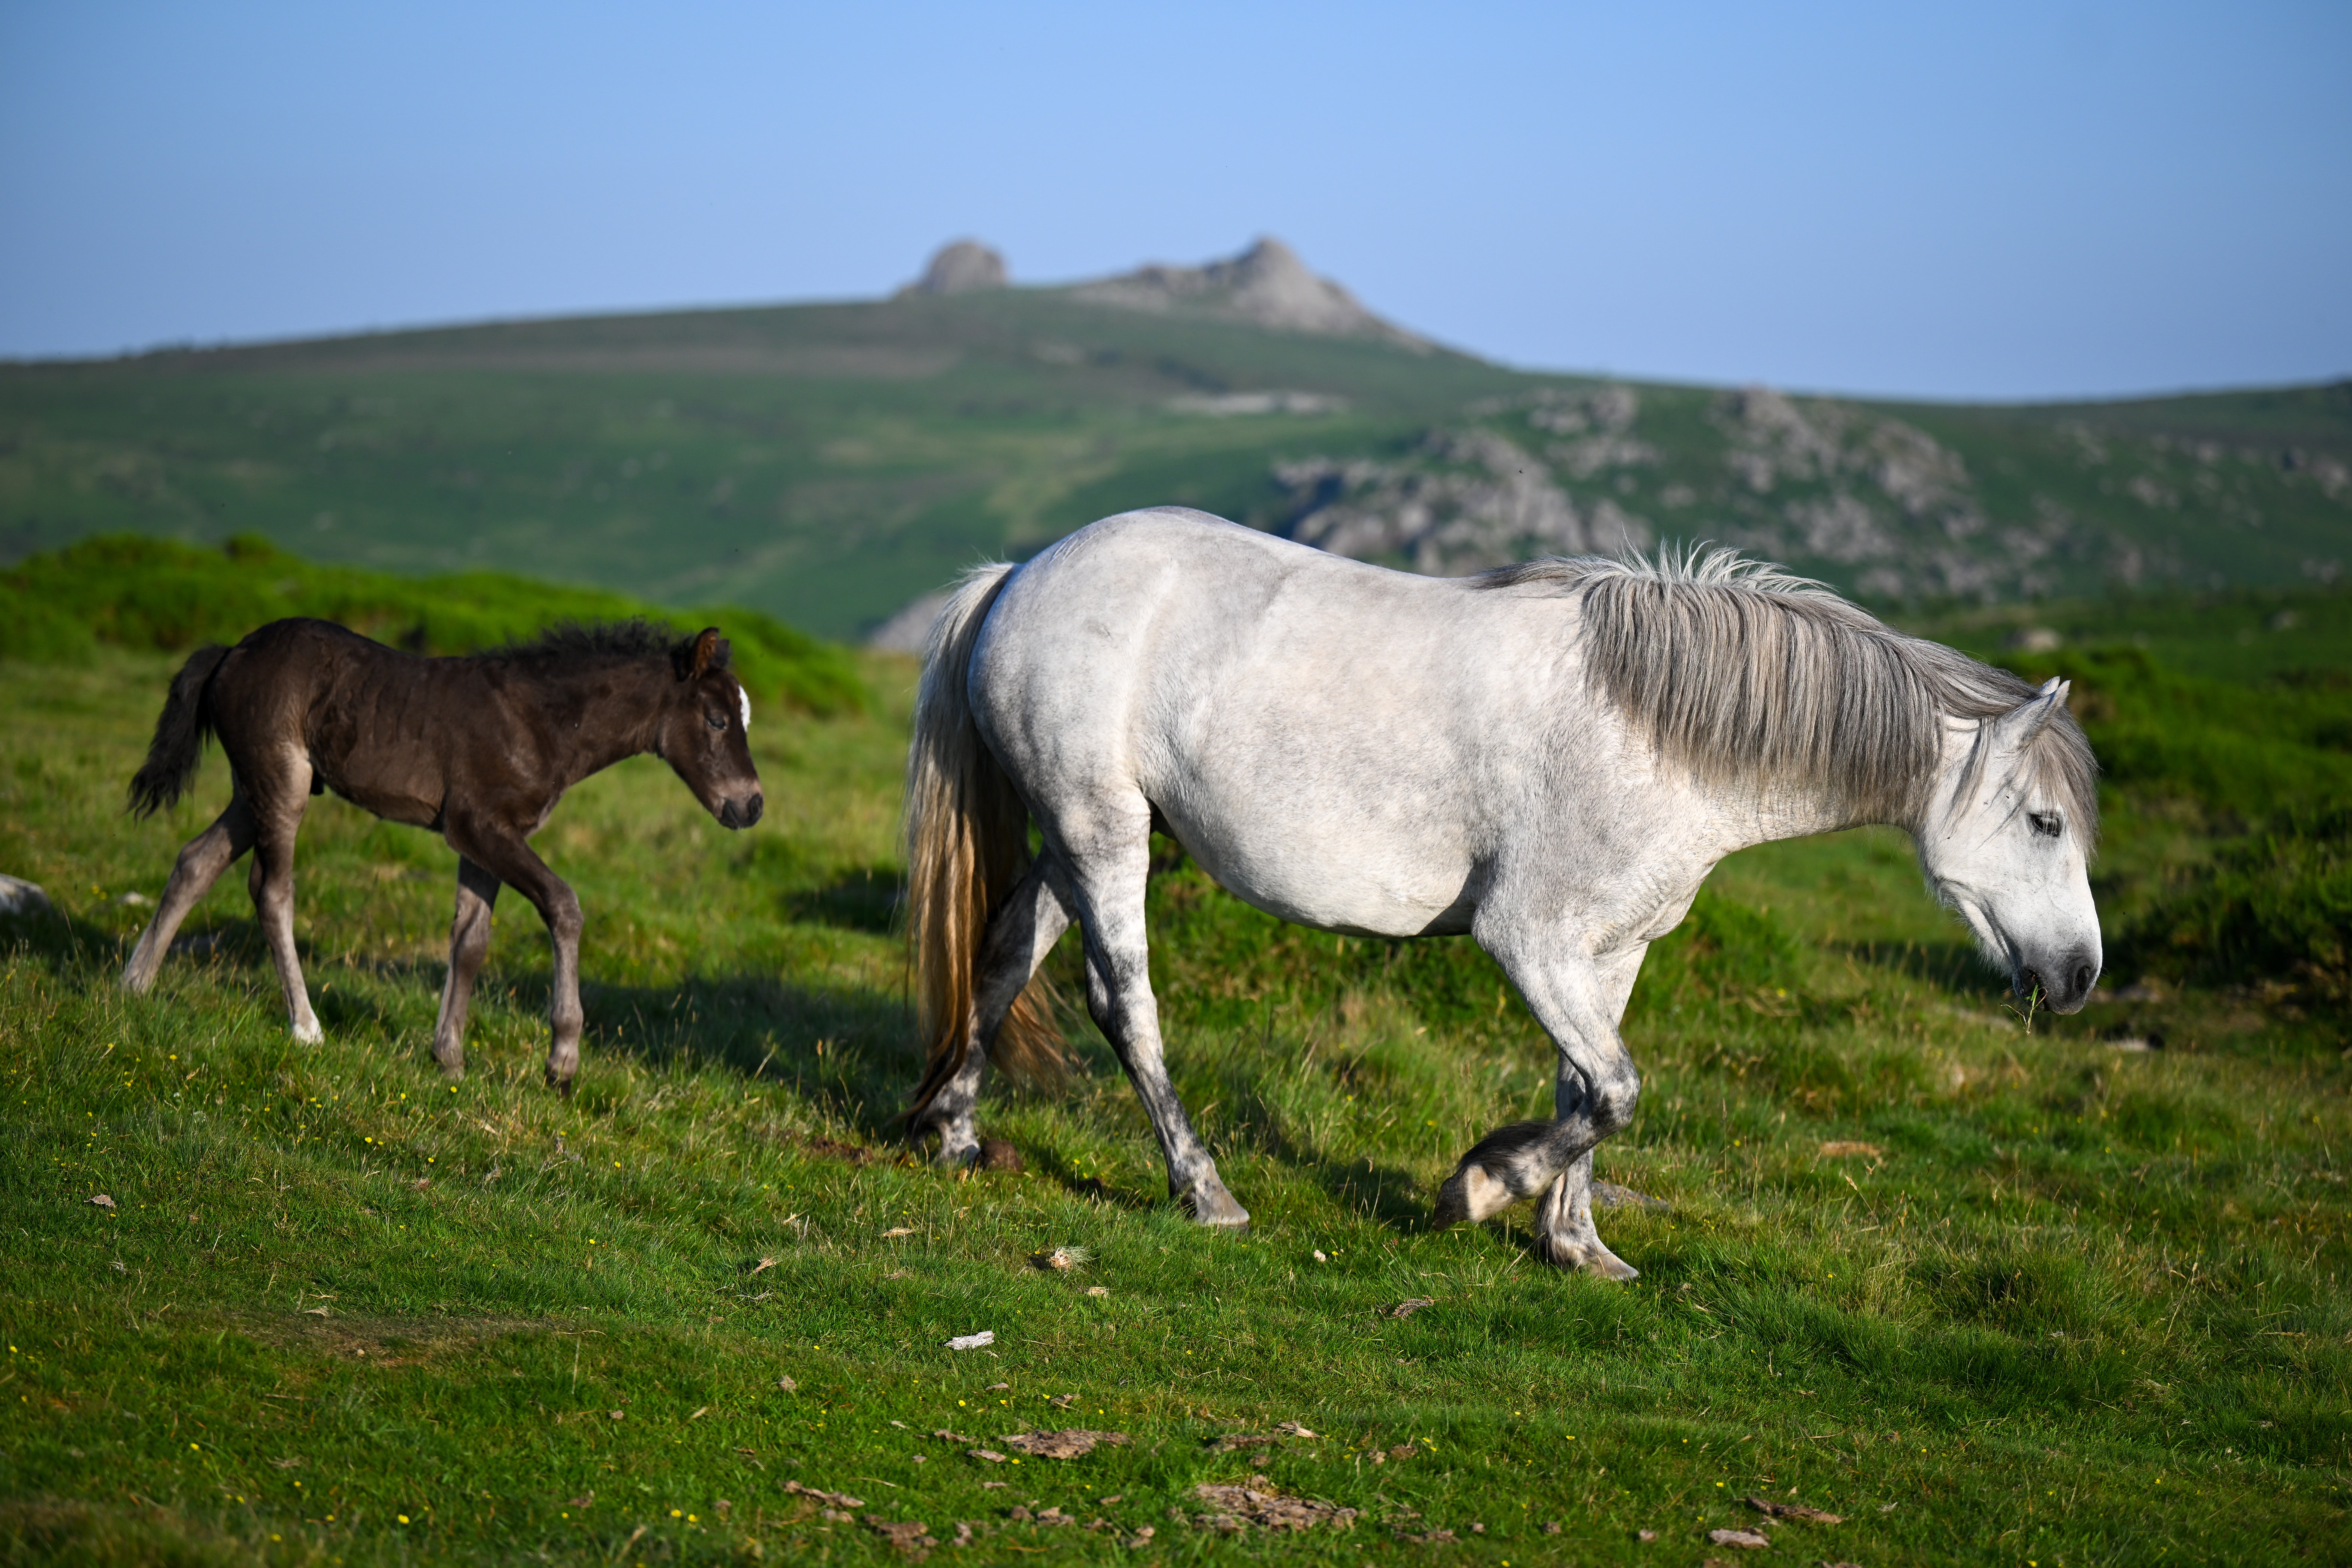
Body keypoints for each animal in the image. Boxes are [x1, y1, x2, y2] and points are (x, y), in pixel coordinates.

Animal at [120, 618, 764, 1089]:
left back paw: (135, 985)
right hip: (282, 781)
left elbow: (470, 942)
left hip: (253, 790)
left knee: (196, 861)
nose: (752, 805)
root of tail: (233, 652)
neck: (544, 722)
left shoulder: (483, 839)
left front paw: (449, 1056)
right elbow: (563, 905)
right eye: (717, 720)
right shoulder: (480, 827)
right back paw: (305, 1026)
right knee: (272, 891)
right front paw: (562, 1059)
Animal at [901, 507, 2100, 1278]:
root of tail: (1016, 577)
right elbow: (1614, 1091)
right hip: (1100, 830)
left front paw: (1575, 1246)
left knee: (1002, 958)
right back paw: (1204, 1191)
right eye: (2042, 824)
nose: (2080, 975)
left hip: (1077, 838)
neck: (1656, 735)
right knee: (1124, 1004)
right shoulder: (1529, 938)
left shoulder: (1612, 949)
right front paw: (1478, 1190)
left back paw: (954, 1135)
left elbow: (1585, 1089)